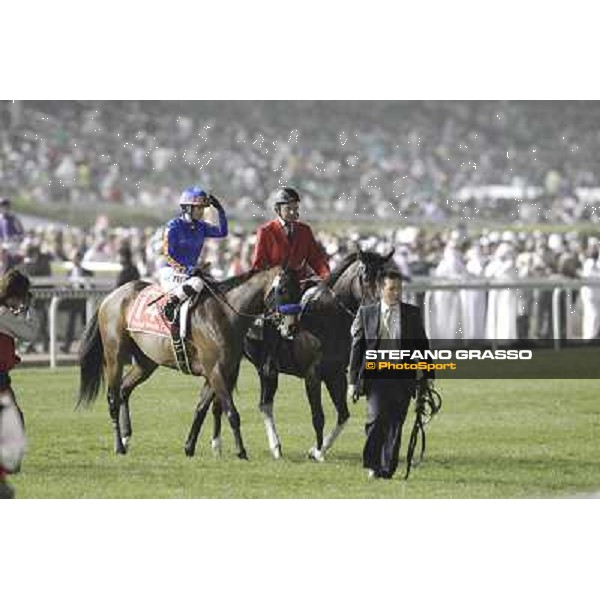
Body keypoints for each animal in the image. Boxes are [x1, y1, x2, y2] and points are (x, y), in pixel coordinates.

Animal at [78, 264, 284, 458]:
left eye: (291, 288)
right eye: (282, 290)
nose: (287, 326)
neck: (224, 314)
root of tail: (110, 297)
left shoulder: (224, 371)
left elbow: (201, 408)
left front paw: (189, 447)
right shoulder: (215, 370)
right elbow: (231, 412)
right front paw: (241, 452)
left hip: (146, 362)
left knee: (124, 389)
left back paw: (126, 437)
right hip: (115, 355)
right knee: (113, 397)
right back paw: (119, 446)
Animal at [185, 248, 396, 460]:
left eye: (385, 277)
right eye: (365, 277)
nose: (381, 305)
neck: (327, 317)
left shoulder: (335, 375)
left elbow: (343, 415)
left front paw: (318, 450)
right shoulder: (313, 375)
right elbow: (318, 417)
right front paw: (318, 451)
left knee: (237, 404)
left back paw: (222, 446)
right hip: (230, 366)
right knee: (238, 403)